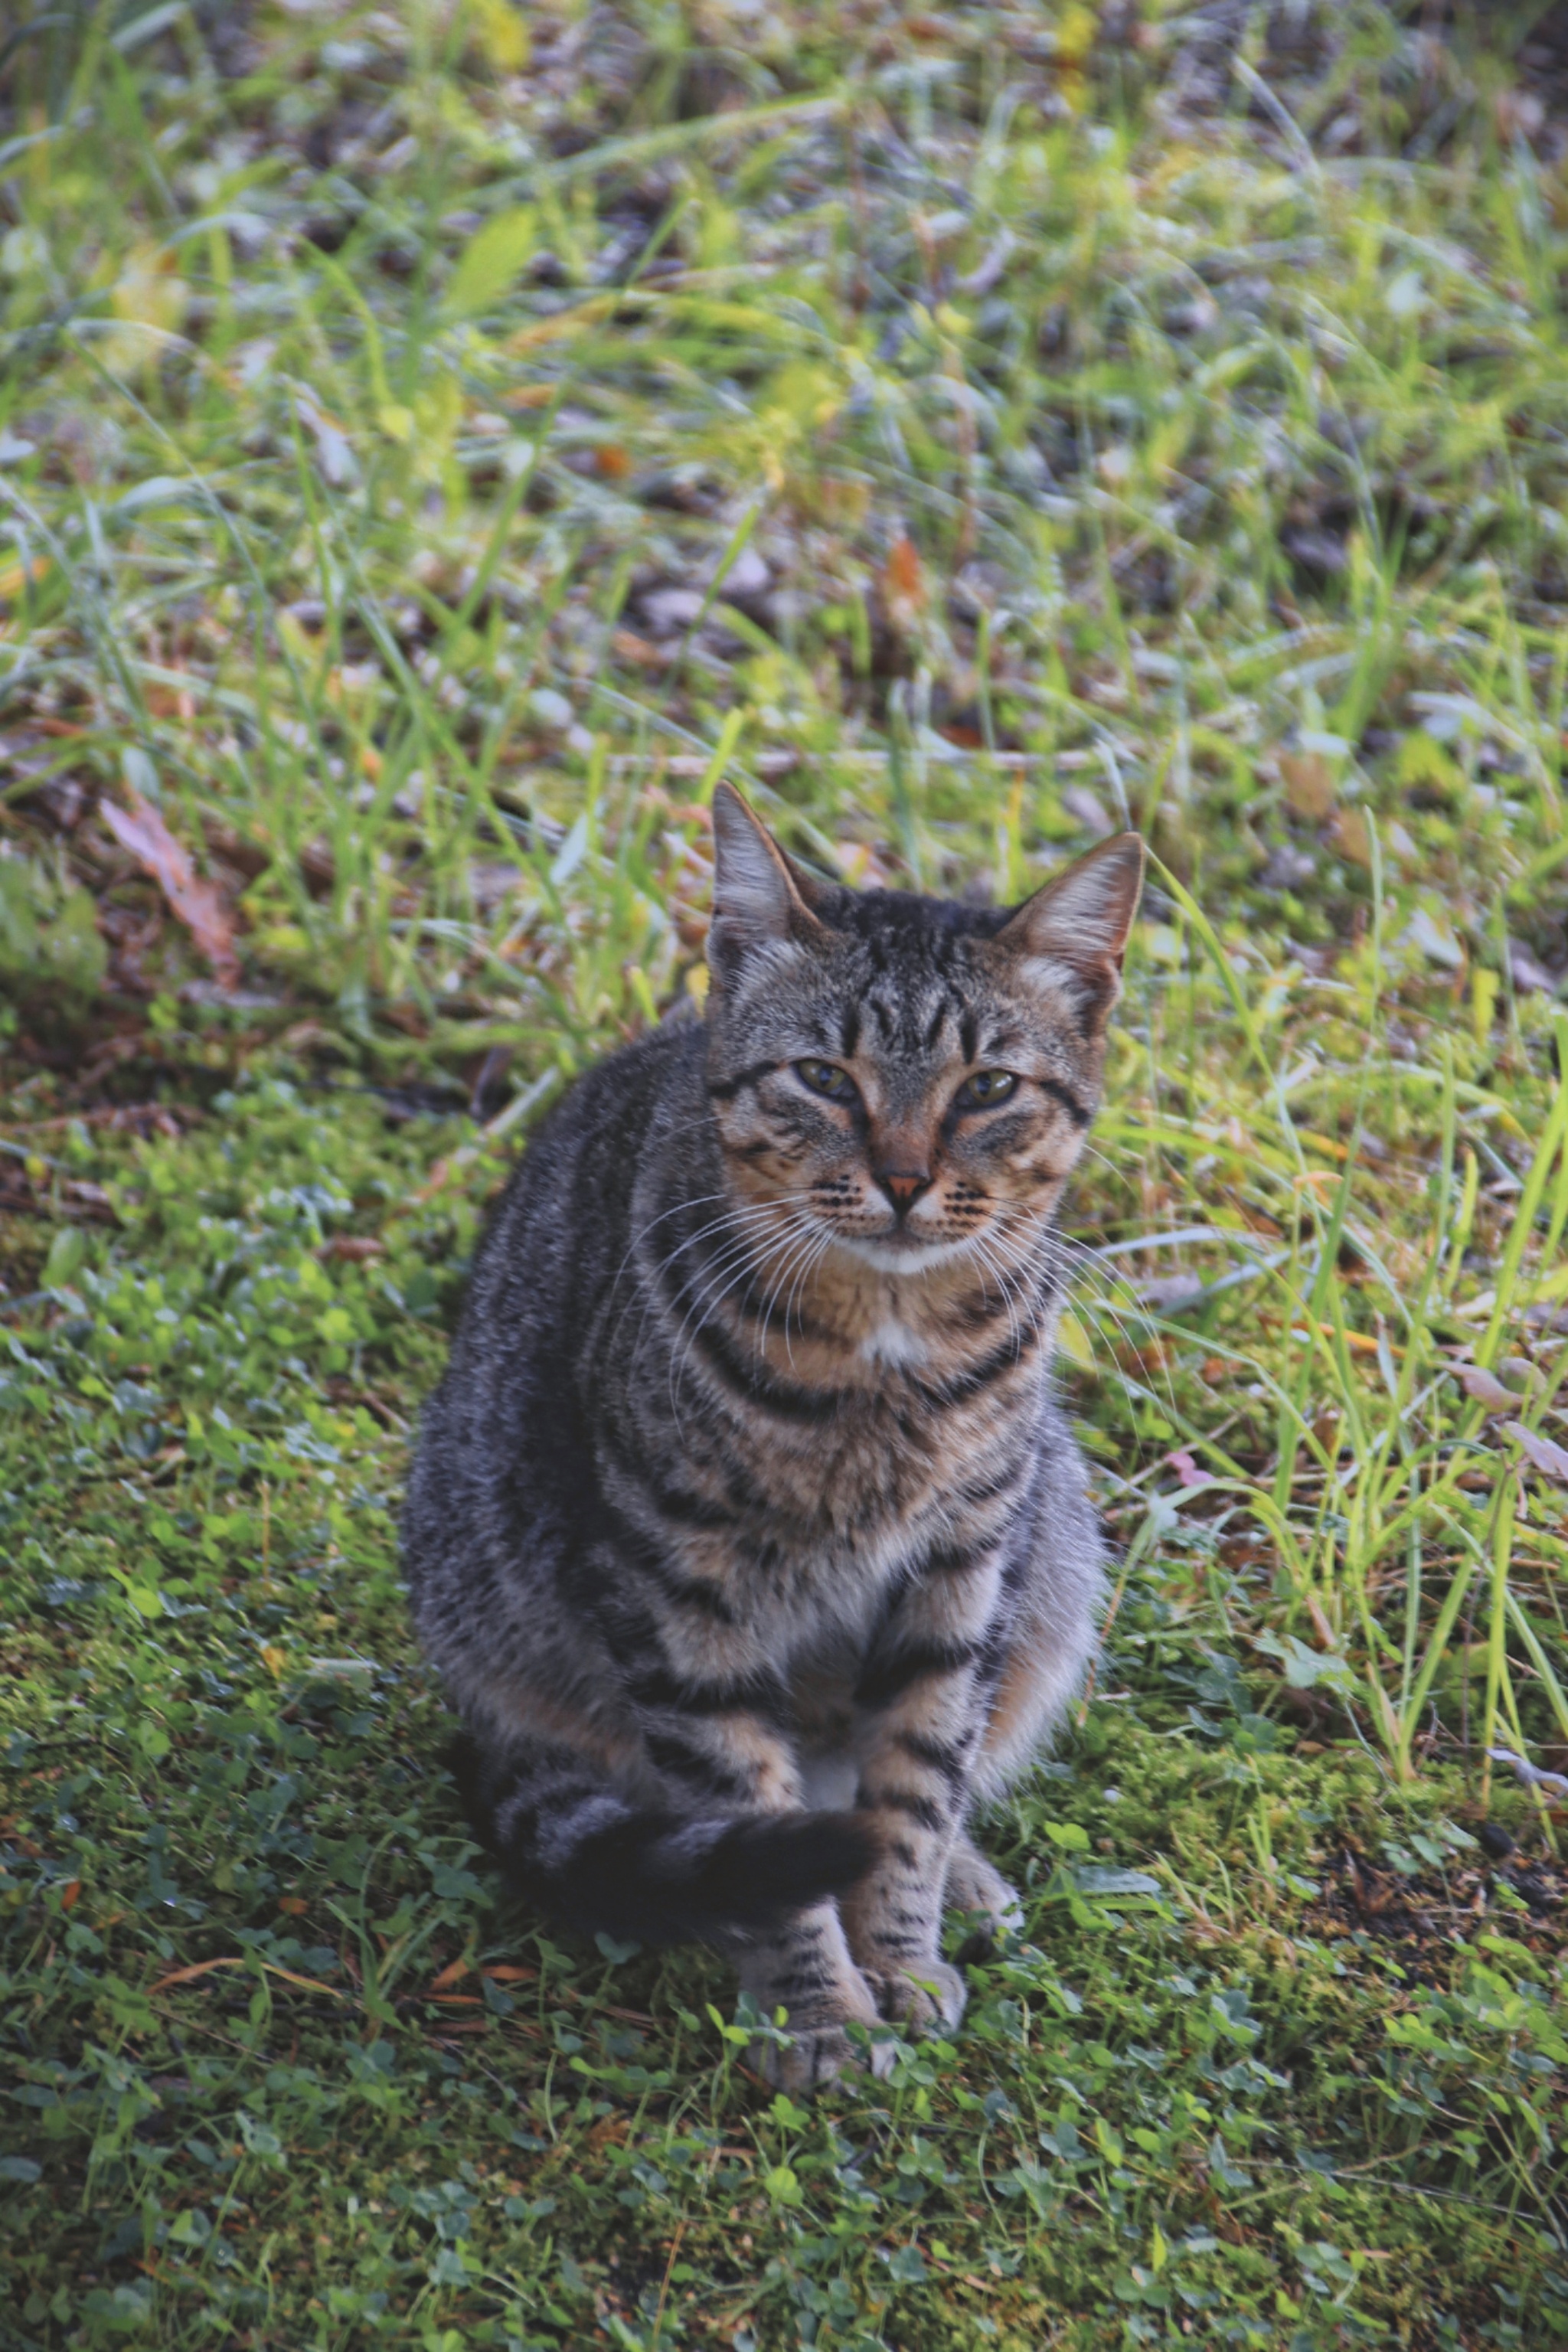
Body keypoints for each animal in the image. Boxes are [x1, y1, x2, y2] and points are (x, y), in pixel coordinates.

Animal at [402, 780, 1142, 2088]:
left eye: (987, 1090)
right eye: (823, 1077)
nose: (902, 1177)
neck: (885, 1361)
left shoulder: (965, 1562)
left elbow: (917, 1785)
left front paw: (897, 1957)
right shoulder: (680, 1590)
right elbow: (754, 1810)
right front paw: (820, 2013)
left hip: (1054, 1550)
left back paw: (966, 1884)